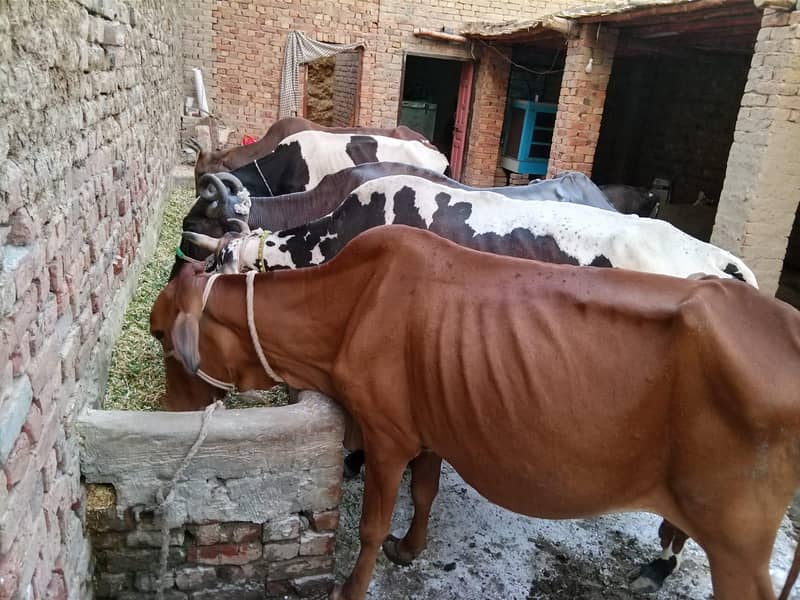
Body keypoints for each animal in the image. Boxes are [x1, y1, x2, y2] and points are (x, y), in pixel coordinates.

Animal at [151, 225, 800, 600]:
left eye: (161, 336)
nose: (164, 409)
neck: (348, 307)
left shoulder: (386, 435)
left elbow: (370, 528)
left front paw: (352, 588)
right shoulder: (430, 427)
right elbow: (426, 494)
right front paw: (411, 549)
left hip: (739, 543)